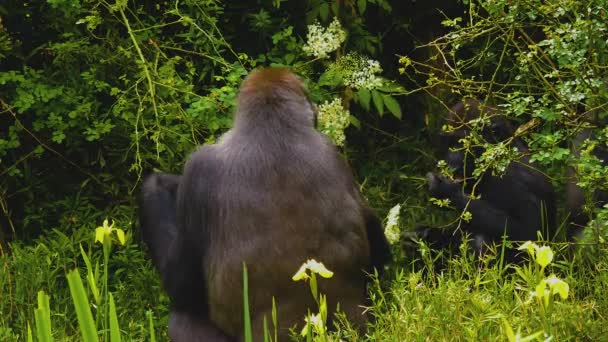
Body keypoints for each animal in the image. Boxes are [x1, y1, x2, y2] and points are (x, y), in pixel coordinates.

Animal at [140, 68, 392, 340]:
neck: (273, 128)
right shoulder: (335, 155)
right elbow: (380, 256)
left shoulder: (199, 168)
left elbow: (180, 286)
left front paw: (156, 184)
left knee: (182, 319)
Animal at [406, 99, 560, 262]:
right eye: (449, 142)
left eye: (463, 144)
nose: (450, 162)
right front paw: (422, 238)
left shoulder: (516, 178)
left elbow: (528, 232)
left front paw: (445, 190)